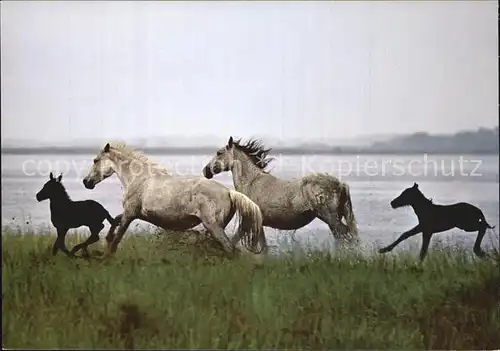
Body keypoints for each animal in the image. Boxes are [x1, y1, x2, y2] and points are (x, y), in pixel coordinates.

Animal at [82, 142, 268, 258]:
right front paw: (105, 241)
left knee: (230, 250)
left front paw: (107, 255)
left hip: (214, 227)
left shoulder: (130, 213)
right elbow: (115, 221)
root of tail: (229, 192)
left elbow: (117, 238)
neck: (139, 179)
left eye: (95, 160)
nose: (86, 182)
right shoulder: (133, 213)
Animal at [203, 136, 360, 246]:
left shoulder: (248, 222)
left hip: (330, 218)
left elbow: (233, 240)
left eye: (219, 152)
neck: (252, 183)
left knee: (345, 235)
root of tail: (341, 184)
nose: (206, 171)